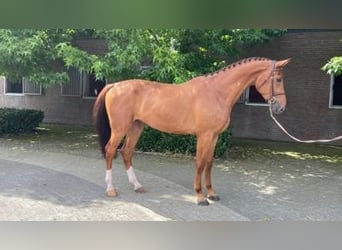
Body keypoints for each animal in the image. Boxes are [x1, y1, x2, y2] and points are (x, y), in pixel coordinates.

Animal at [92, 57, 290, 205]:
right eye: (278, 79)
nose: (281, 108)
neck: (216, 92)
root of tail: (115, 85)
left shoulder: (214, 136)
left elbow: (209, 163)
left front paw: (212, 193)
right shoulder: (204, 136)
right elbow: (200, 163)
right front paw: (200, 196)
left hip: (136, 127)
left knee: (126, 152)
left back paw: (137, 185)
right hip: (120, 129)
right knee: (110, 151)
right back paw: (110, 189)